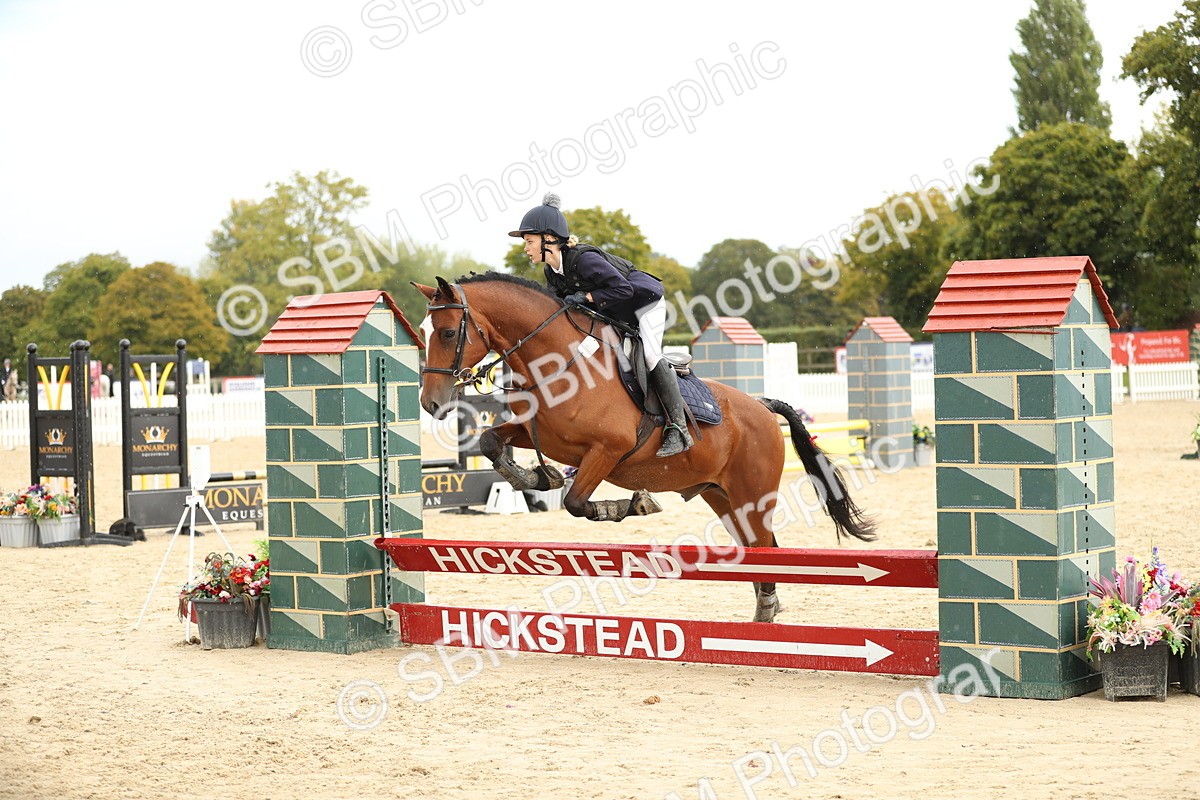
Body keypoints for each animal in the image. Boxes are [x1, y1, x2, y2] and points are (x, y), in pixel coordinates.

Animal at [414, 273, 876, 622]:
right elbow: (493, 441)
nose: (432, 404)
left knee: (766, 546)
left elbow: (577, 502)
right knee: (760, 547)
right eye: (422, 333)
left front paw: (633, 504)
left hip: (752, 493)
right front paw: (533, 477)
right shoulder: (545, 436)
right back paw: (767, 609)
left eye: (449, 332)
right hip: (721, 496)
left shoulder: (606, 451)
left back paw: (766, 614)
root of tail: (761, 407)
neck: (560, 361)